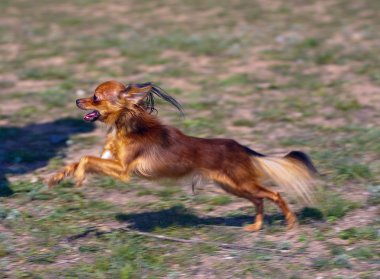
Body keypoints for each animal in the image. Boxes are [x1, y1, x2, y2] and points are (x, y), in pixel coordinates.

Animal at [48, 80, 318, 232]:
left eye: (95, 98)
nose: (77, 100)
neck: (128, 126)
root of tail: (241, 147)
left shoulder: (123, 171)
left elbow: (85, 159)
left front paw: (79, 177)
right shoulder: (110, 161)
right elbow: (78, 160)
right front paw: (57, 177)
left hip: (240, 183)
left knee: (274, 194)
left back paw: (291, 222)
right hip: (232, 186)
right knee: (260, 200)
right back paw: (257, 226)